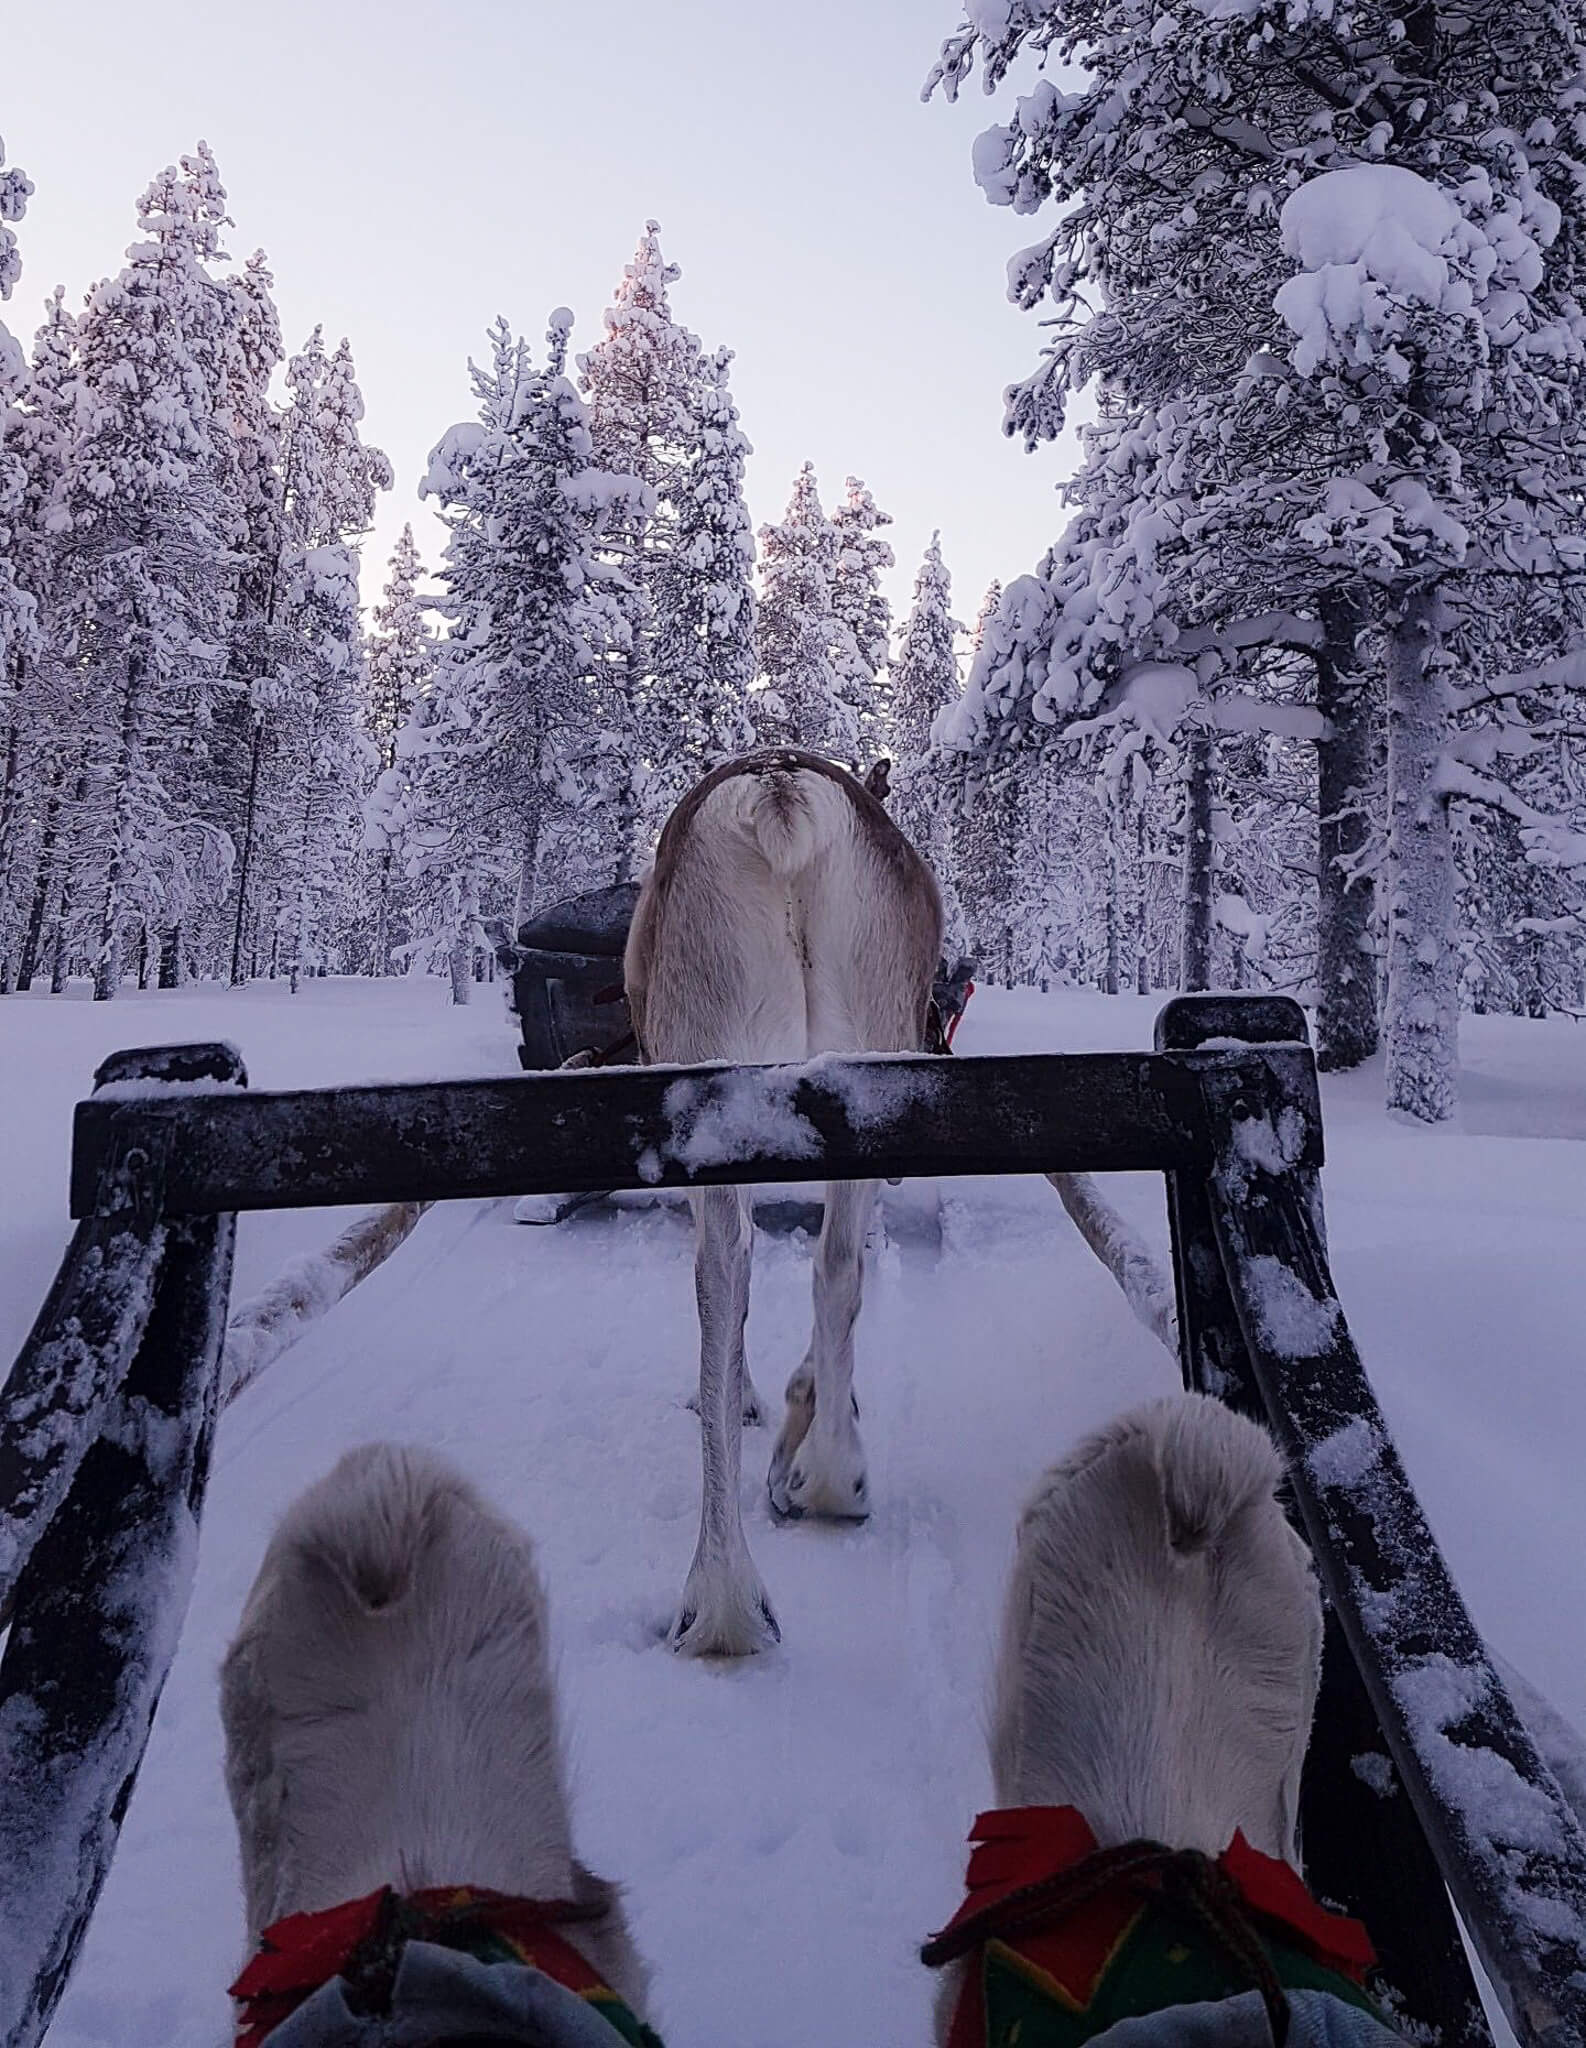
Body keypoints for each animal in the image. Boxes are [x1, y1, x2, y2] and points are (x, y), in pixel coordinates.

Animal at [624, 747, 944, 1657]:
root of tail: (781, 795)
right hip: (864, 1069)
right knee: (831, 1264)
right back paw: (826, 1480)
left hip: (706, 1067)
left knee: (721, 1275)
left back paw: (722, 1593)